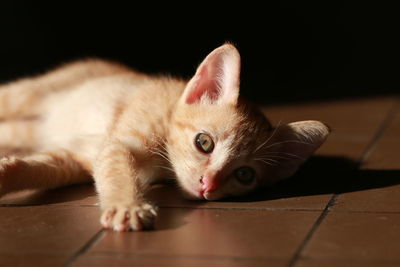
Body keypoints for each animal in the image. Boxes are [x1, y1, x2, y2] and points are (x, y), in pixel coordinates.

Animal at [0, 44, 328, 232]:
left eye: (244, 175)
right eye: (204, 142)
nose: (208, 185)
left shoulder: (75, 159)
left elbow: (36, 170)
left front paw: (7, 174)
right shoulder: (119, 144)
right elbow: (119, 172)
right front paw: (127, 206)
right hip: (29, 94)